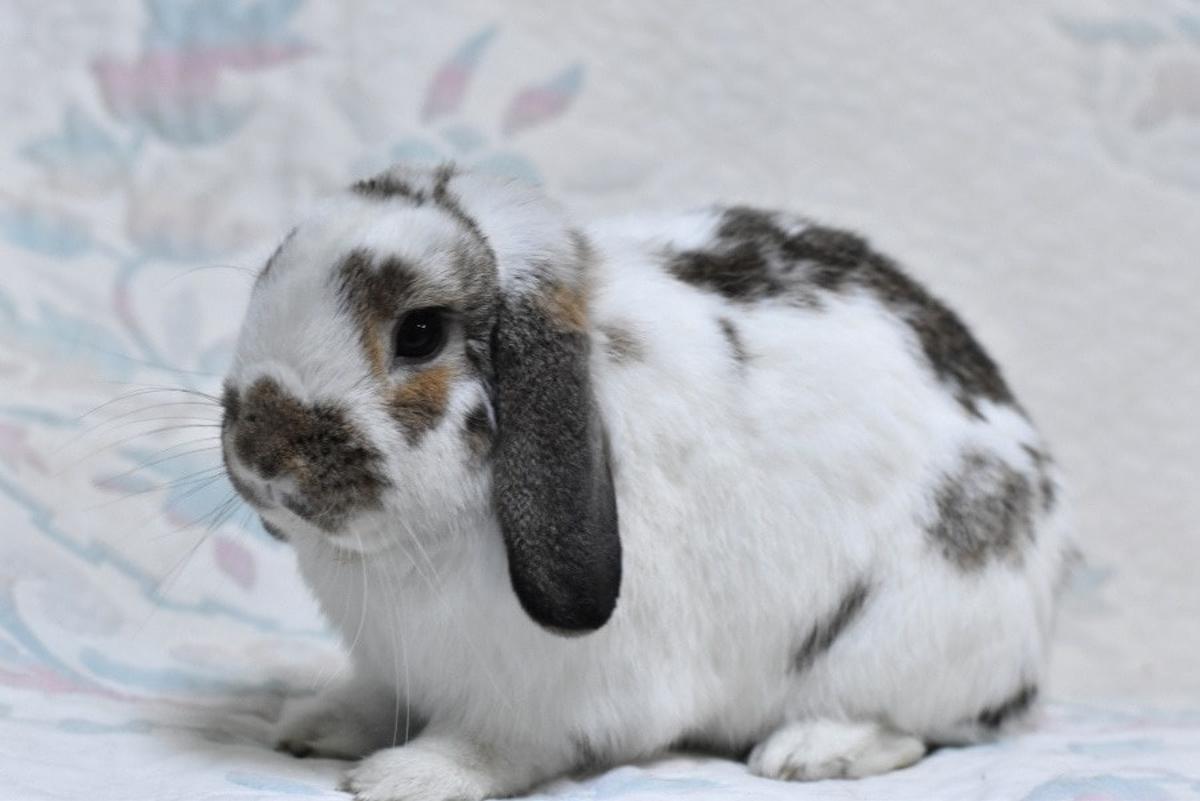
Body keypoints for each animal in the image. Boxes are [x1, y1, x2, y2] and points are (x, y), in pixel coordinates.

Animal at [220, 162, 1073, 801]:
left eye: (421, 332)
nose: (259, 449)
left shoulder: (539, 694)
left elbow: (495, 743)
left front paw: (409, 774)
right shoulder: (389, 661)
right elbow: (376, 697)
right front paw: (314, 727)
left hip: (907, 638)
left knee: (916, 726)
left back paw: (806, 750)